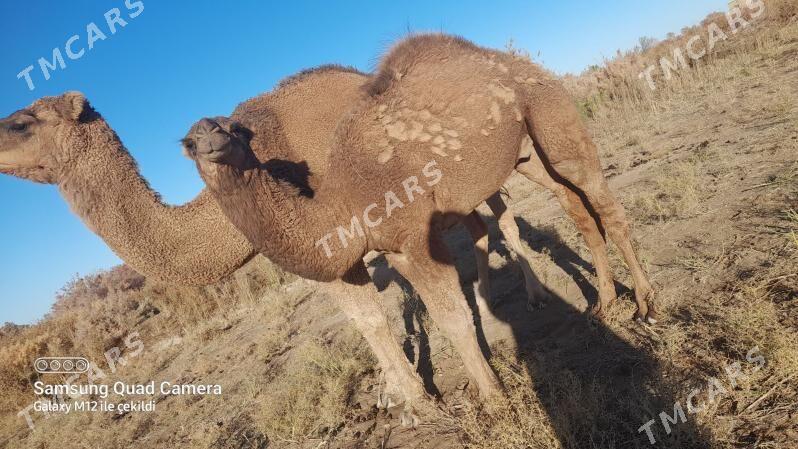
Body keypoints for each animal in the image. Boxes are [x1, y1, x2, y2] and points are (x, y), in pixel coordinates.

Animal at [186, 33, 656, 414]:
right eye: (188, 143)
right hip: (527, 152)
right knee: (575, 207)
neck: (342, 203)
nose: (210, 137)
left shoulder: (416, 237)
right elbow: (444, 315)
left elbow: (453, 318)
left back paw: (646, 303)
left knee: (603, 204)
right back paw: (605, 302)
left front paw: (493, 400)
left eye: (235, 130)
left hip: (552, 112)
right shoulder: (395, 251)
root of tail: (515, 61)